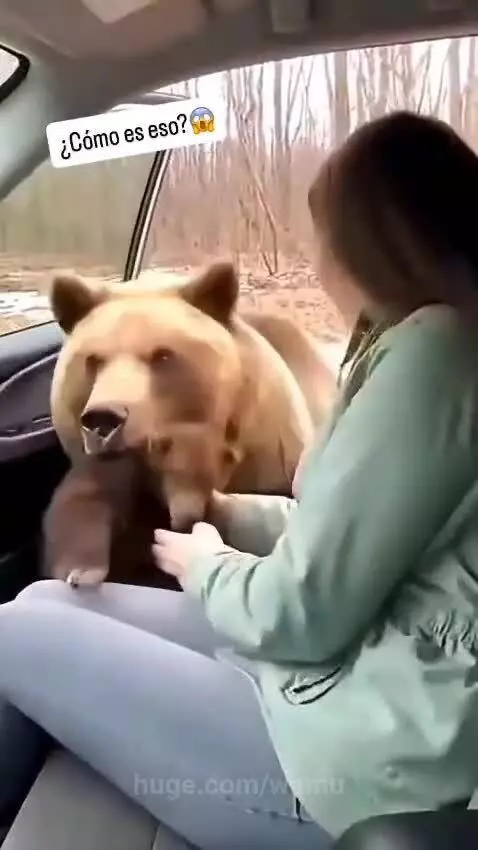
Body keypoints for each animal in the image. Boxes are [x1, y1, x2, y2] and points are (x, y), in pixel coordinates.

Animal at [42, 260, 336, 589]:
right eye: (93, 360)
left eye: (162, 356)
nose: (104, 418)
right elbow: (83, 502)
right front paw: (82, 570)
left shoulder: (270, 450)